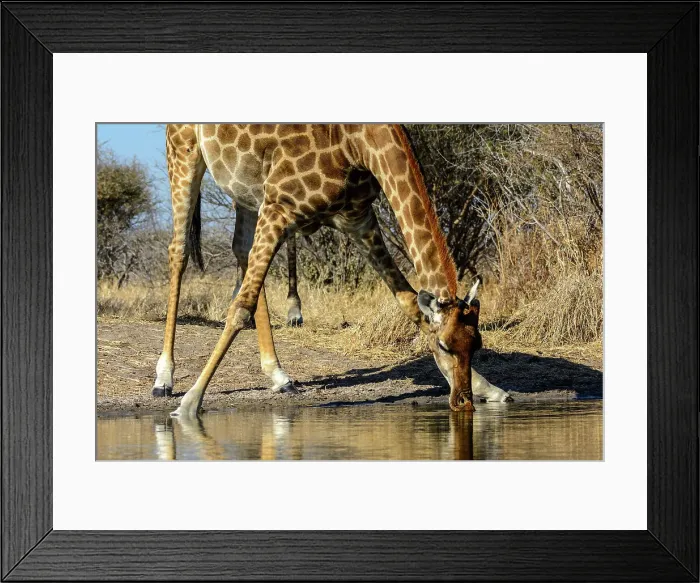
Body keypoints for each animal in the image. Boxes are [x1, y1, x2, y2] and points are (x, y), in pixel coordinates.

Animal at [154, 124, 511, 418]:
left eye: (477, 345)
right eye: (444, 346)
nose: (463, 403)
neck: (359, 144)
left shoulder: (358, 219)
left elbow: (410, 303)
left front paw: (490, 389)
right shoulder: (279, 207)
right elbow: (241, 308)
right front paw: (190, 403)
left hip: (246, 187)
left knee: (240, 249)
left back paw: (278, 375)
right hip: (184, 151)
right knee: (179, 250)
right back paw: (164, 377)